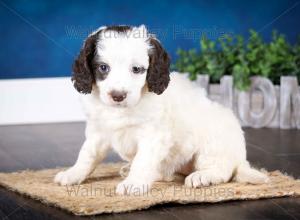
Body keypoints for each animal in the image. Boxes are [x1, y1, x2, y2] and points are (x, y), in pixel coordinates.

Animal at [54, 24, 270, 195]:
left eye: (137, 69)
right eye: (103, 68)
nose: (118, 96)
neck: (122, 110)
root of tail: (240, 158)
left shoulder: (153, 135)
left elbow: (142, 161)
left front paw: (133, 183)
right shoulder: (98, 132)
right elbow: (87, 155)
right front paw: (72, 174)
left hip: (213, 143)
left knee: (223, 171)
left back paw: (202, 177)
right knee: (168, 172)